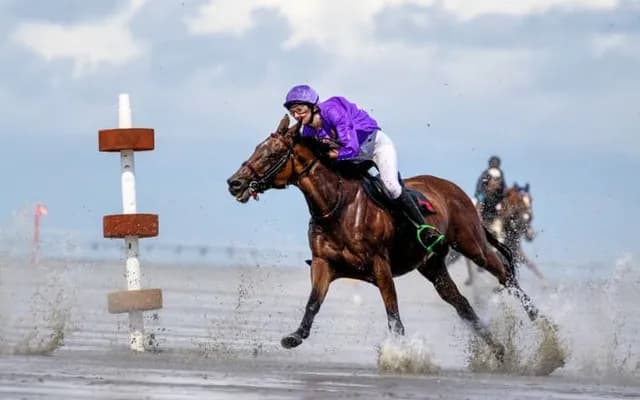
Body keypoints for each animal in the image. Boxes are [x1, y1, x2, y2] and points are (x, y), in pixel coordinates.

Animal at [226, 115, 541, 361]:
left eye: (271, 154)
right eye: (257, 148)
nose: (235, 183)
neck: (337, 206)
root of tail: (456, 190)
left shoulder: (380, 267)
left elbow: (394, 317)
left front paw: (401, 356)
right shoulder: (324, 263)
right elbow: (313, 303)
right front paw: (294, 337)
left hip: (471, 244)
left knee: (505, 275)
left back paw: (542, 325)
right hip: (432, 265)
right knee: (462, 304)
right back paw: (499, 351)